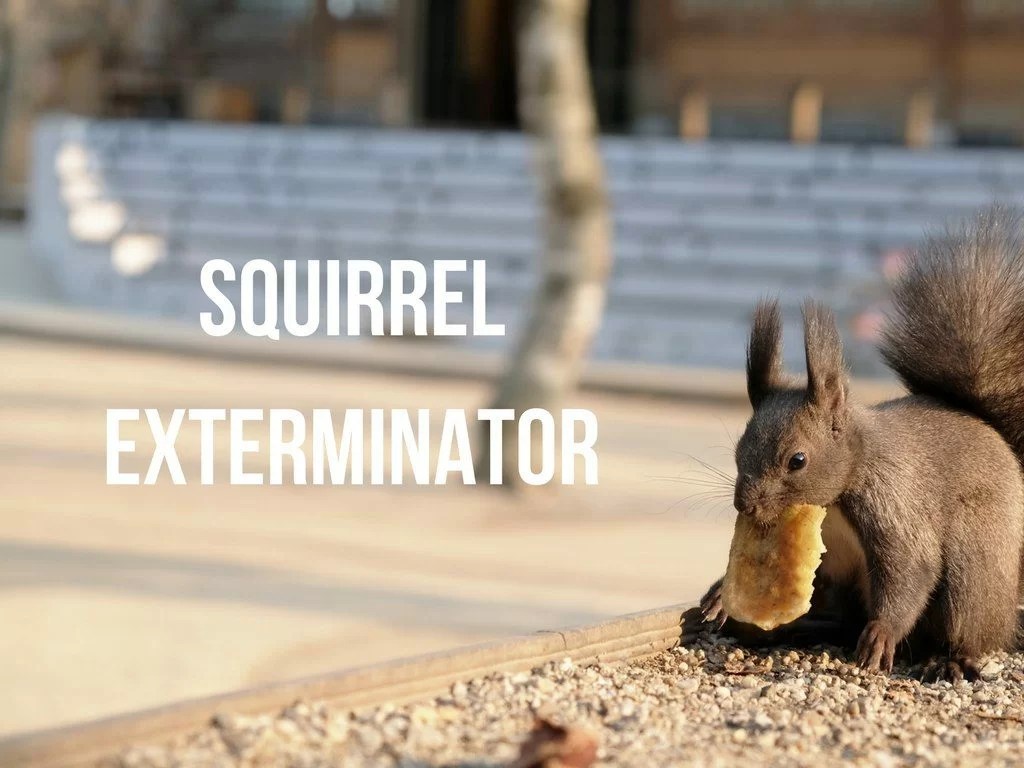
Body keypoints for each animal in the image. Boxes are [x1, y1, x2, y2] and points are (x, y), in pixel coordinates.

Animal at [699, 208, 1024, 681]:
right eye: (739, 450)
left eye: (797, 460)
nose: (746, 505)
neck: (842, 489)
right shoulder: (828, 562)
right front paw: (721, 594)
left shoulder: (896, 503)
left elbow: (911, 568)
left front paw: (882, 636)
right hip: (850, 587)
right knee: (841, 618)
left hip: (975, 566)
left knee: (971, 625)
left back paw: (952, 658)